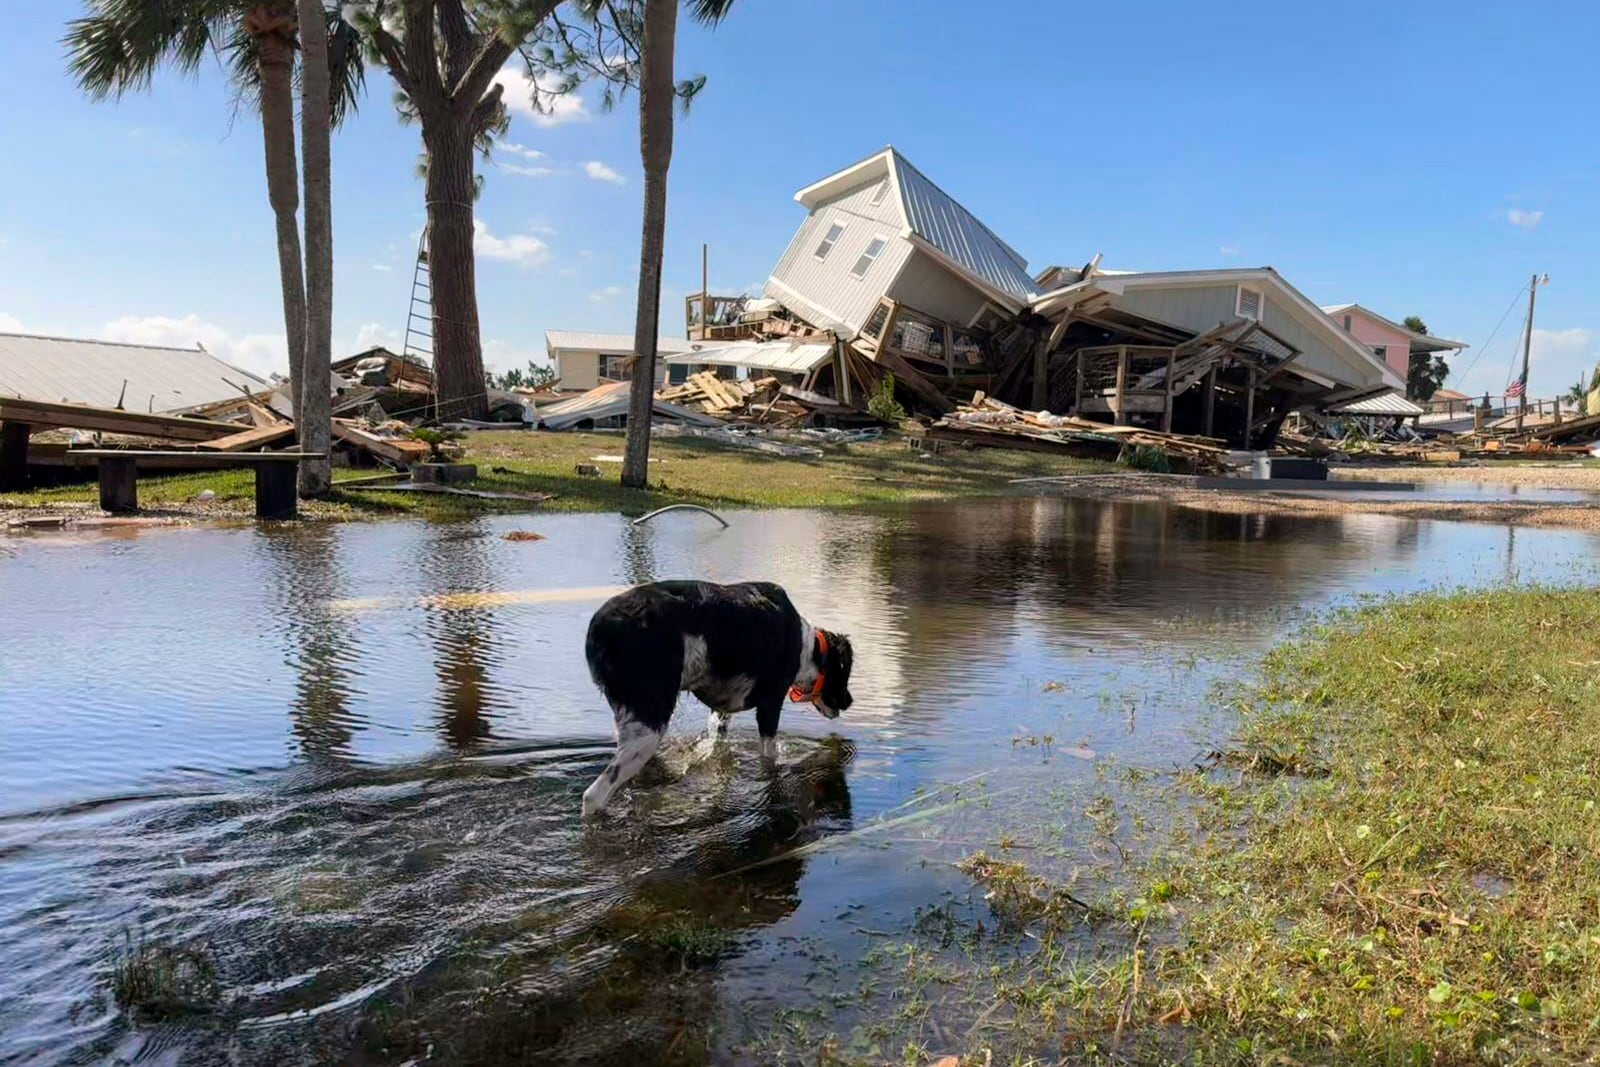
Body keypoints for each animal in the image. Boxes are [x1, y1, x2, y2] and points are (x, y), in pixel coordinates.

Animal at [576, 585, 851, 819]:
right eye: (845, 672)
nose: (849, 701)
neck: (807, 646)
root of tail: (600, 627)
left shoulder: (721, 712)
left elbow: (719, 747)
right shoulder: (770, 705)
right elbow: (769, 758)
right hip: (647, 731)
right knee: (592, 796)